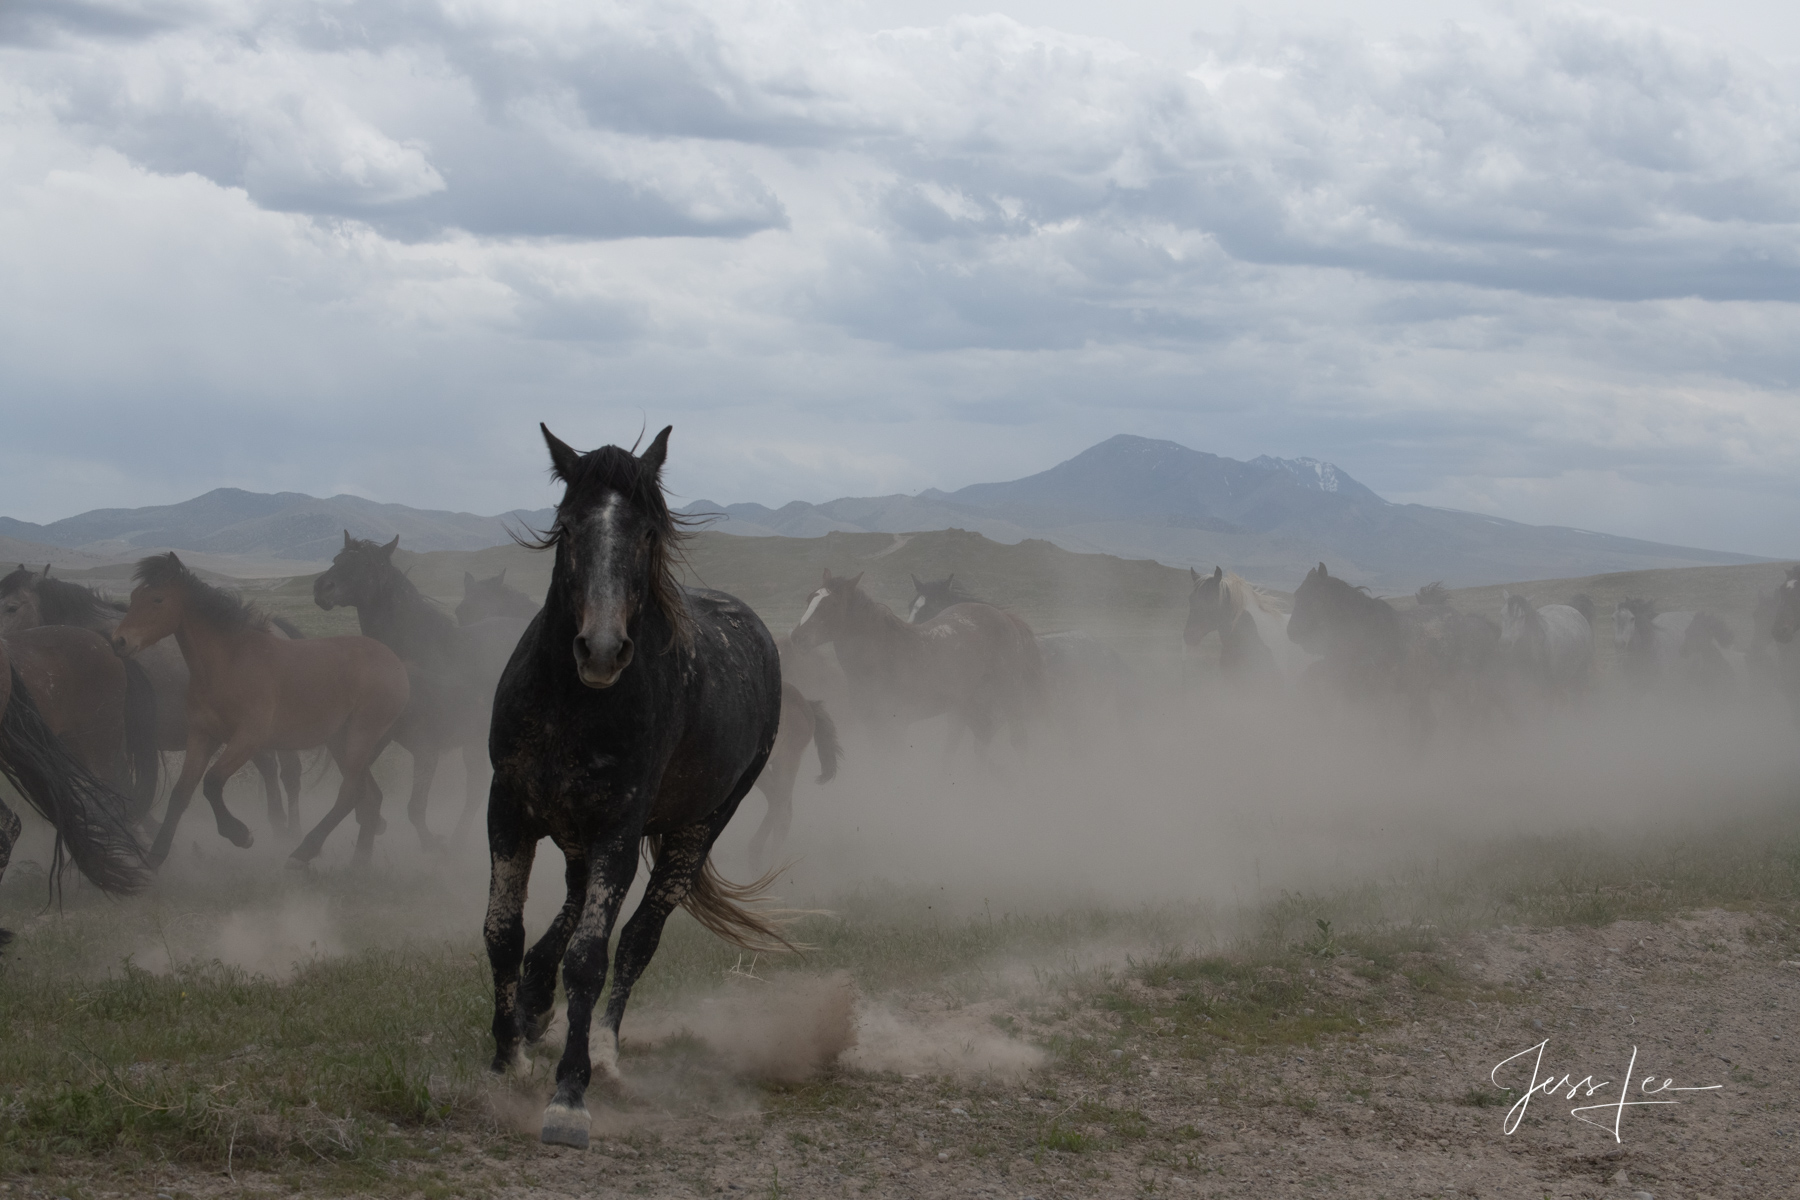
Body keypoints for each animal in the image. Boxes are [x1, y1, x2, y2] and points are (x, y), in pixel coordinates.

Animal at [110, 554, 410, 874]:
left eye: (157, 599)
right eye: (133, 596)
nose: (119, 641)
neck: (230, 663)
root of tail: (393, 660)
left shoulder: (248, 738)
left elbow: (212, 782)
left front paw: (240, 834)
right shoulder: (203, 735)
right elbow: (181, 793)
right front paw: (156, 856)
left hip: (361, 735)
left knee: (350, 793)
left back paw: (303, 851)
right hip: (341, 740)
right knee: (369, 796)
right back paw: (359, 862)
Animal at [486, 426, 788, 1151]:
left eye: (648, 533)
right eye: (569, 525)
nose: (600, 650)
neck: (571, 706)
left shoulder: (620, 833)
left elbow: (591, 959)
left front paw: (569, 1097)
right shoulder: (507, 809)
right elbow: (503, 931)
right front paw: (506, 1056)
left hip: (694, 831)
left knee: (637, 940)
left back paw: (605, 1051)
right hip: (576, 835)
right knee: (568, 910)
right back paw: (535, 1010)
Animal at [788, 572, 1044, 755]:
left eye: (831, 605)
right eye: (810, 599)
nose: (797, 637)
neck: (885, 656)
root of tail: (1004, 617)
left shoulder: (896, 727)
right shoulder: (873, 727)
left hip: (1009, 694)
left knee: (1018, 740)